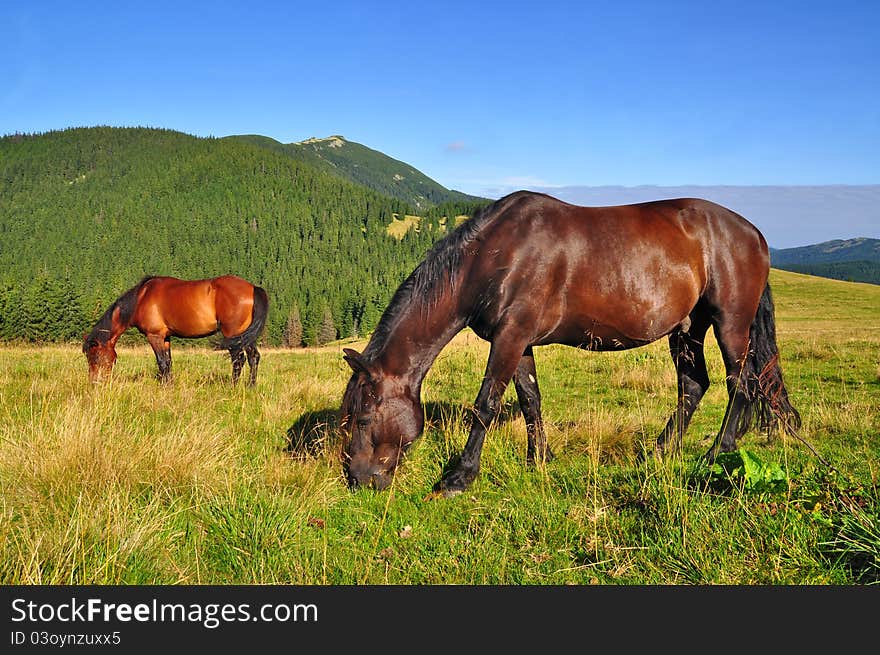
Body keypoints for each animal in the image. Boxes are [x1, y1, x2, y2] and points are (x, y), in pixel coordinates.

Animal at [82, 276, 268, 384]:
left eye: (94, 356)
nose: (94, 383)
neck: (141, 298)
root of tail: (253, 288)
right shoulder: (165, 337)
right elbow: (168, 362)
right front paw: (169, 385)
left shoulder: (154, 336)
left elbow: (162, 363)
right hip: (246, 336)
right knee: (254, 357)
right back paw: (251, 386)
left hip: (234, 335)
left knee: (238, 361)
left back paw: (233, 386)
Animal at [340, 190, 800, 498]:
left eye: (363, 420)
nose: (357, 479)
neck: (494, 256)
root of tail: (755, 234)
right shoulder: (519, 341)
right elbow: (530, 400)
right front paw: (539, 458)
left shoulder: (509, 338)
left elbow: (486, 404)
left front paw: (459, 476)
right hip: (687, 329)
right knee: (694, 386)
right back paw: (660, 450)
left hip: (730, 323)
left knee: (741, 385)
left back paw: (719, 452)